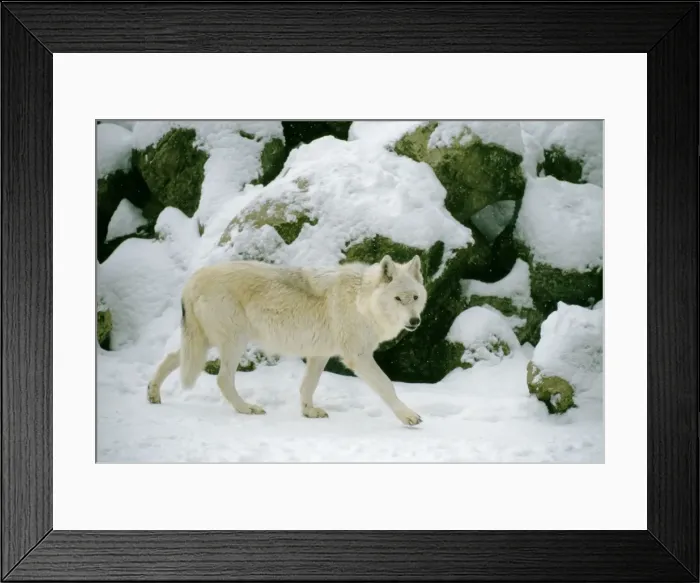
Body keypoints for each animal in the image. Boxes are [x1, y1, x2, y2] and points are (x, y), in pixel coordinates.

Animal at [147, 254, 428, 426]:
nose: (415, 322)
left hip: (204, 344)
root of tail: (192, 280)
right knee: (222, 379)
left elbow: (307, 386)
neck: (362, 301)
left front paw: (308, 411)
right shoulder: (358, 357)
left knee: (171, 358)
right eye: (398, 299)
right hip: (233, 343)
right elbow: (387, 386)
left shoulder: (320, 354)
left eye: (414, 298)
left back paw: (153, 394)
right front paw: (408, 416)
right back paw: (246, 408)